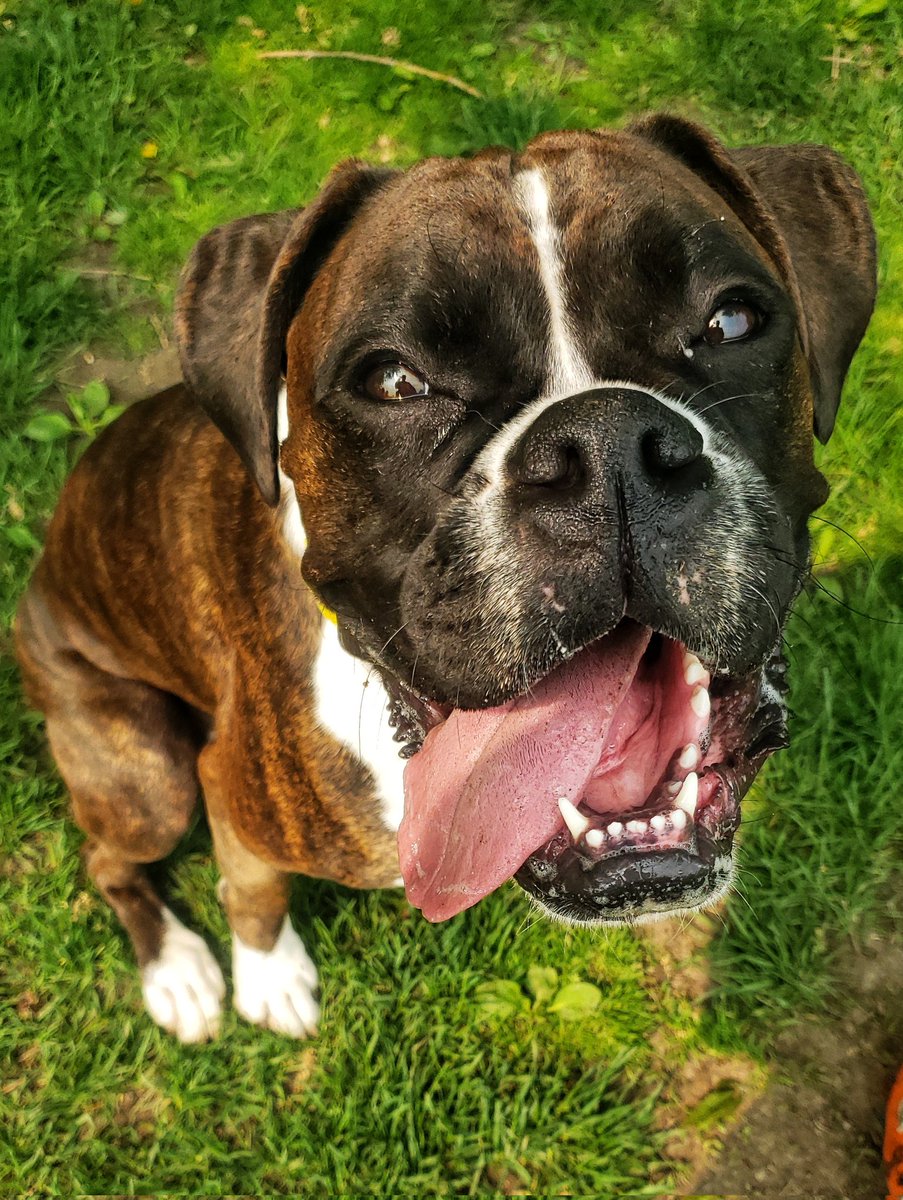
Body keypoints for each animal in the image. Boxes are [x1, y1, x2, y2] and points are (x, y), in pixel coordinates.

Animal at [14, 112, 874, 1041]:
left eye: (731, 320)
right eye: (394, 380)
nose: (606, 443)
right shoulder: (229, 790)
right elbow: (252, 887)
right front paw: (267, 975)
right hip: (149, 777)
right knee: (109, 857)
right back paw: (176, 967)